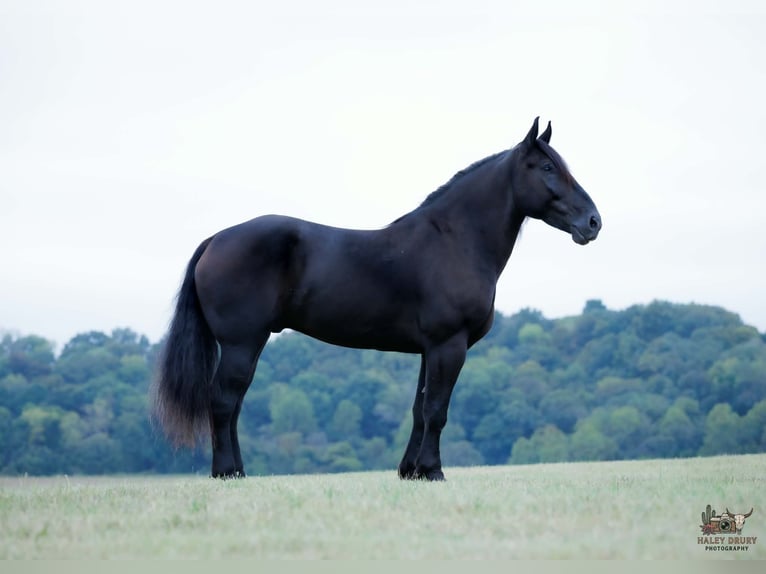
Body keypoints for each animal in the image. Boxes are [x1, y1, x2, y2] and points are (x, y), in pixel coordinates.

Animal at [151, 117, 602, 480]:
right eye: (548, 167)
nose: (593, 221)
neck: (455, 239)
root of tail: (215, 240)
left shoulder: (429, 349)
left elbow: (420, 409)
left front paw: (411, 472)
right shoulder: (449, 344)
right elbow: (438, 409)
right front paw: (433, 471)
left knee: (233, 405)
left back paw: (238, 471)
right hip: (242, 343)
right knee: (224, 401)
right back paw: (227, 472)